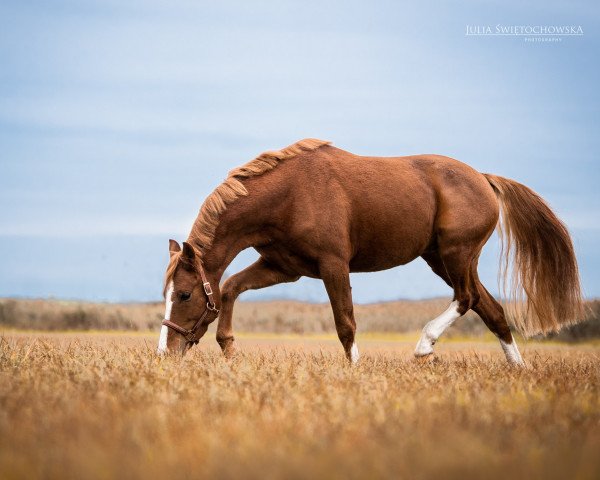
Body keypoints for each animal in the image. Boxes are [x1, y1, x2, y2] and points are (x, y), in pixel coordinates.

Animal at [157, 139, 584, 364]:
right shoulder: (282, 267)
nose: (165, 352)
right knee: (490, 309)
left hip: (457, 254)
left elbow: (345, 323)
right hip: (442, 259)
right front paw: (229, 348)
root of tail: (483, 178)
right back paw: (518, 371)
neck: (289, 196)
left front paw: (355, 372)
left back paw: (425, 345)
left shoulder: (333, 265)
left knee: (467, 298)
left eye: (184, 294)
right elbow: (230, 287)